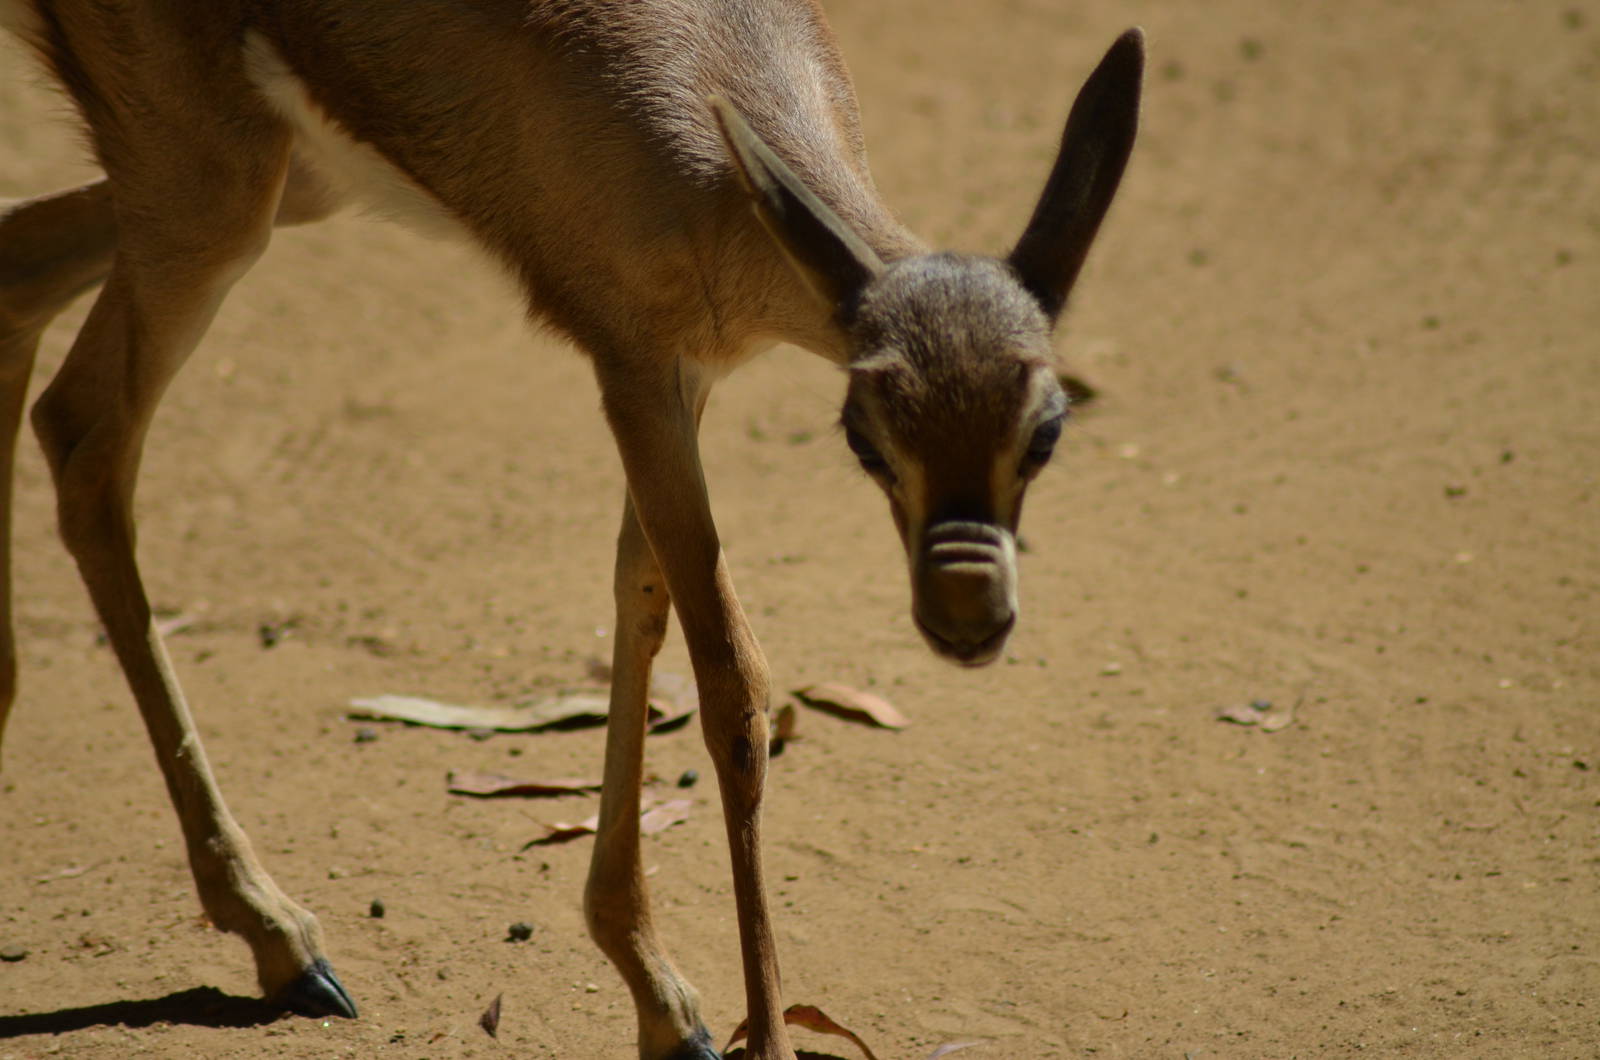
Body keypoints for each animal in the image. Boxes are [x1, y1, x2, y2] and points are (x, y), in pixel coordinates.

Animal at [0, 2, 1142, 1056]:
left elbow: (641, 597)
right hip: (212, 196)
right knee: (86, 437)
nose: (968, 615)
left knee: (20, 278)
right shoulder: (631, 370)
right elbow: (733, 687)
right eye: (864, 436)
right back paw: (283, 941)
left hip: (282, 182)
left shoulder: (682, 382)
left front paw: (658, 995)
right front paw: (729, 1022)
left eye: (1046, 427)